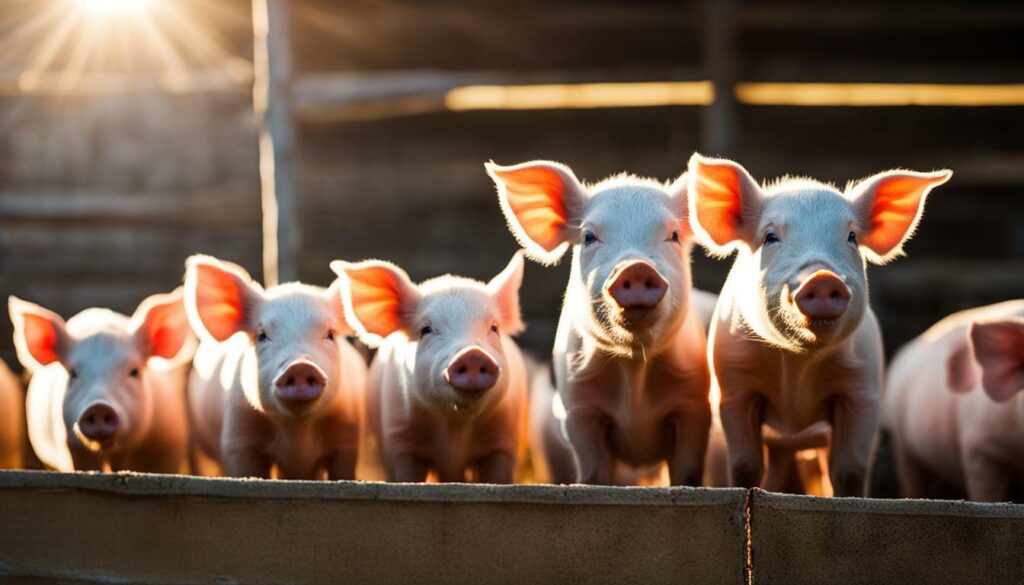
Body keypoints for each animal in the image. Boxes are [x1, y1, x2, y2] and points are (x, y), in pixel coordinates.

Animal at [184, 255, 366, 480]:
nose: (300, 365)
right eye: (262, 335)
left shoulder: (346, 440)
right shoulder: (239, 438)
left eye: (330, 334)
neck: (297, 431)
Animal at [332, 253, 527, 483]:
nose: (472, 354)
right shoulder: (401, 440)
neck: (455, 426)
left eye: (494, 328)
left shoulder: (503, 440)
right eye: (426, 329)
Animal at [486, 161, 712, 486]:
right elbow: (593, 473)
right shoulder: (579, 408)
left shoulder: (693, 404)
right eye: (589, 237)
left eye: (674, 235)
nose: (637, 267)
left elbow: (688, 472)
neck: (634, 369)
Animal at [686, 153, 951, 496]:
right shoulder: (734, 388)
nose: (823, 278)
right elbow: (746, 466)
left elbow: (849, 471)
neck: (798, 369)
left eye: (852, 237)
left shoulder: (862, 391)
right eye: (770, 236)